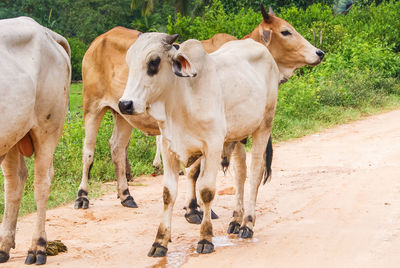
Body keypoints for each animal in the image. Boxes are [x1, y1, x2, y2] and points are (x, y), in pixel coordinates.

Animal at [0, 17, 70, 266]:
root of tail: (47, 32)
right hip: (12, 133)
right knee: (14, 181)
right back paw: (3, 246)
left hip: (47, 127)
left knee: (42, 182)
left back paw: (37, 247)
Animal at [119, 33, 284, 255]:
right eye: (129, 62)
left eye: (154, 62)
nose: (125, 104)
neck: (181, 99)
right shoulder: (168, 148)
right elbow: (168, 193)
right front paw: (160, 241)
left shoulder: (213, 146)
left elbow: (206, 191)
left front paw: (205, 238)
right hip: (237, 136)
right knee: (240, 174)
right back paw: (235, 220)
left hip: (264, 125)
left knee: (255, 173)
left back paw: (247, 224)